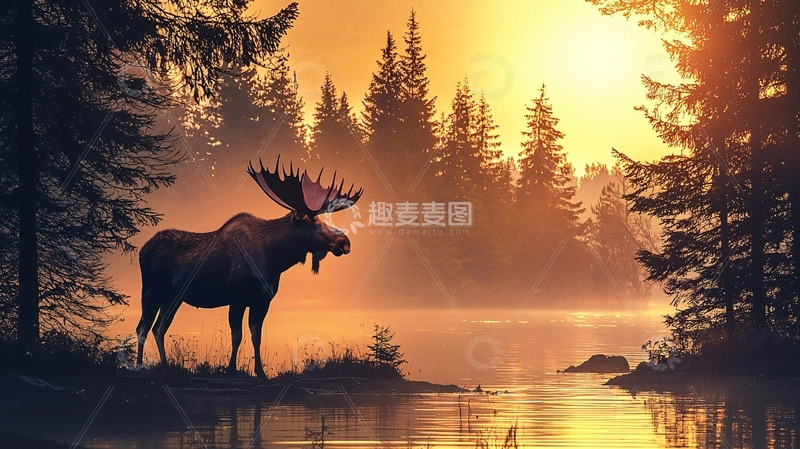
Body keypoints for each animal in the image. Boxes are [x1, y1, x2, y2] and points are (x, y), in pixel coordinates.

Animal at [135, 157, 362, 378]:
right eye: (315, 224)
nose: (345, 242)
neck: (273, 260)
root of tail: (142, 249)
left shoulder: (263, 300)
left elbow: (256, 336)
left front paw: (260, 372)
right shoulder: (237, 297)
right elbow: (236, 336)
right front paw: (231, 370)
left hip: (174, 296)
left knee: (159, 327)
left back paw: (165, 367)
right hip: (151, 290)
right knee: (143, 327)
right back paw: (139, 367)